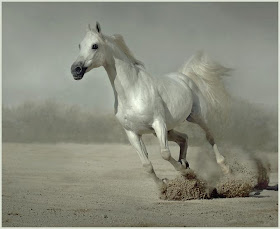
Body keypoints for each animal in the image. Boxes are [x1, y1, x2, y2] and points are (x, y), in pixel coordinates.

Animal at [71, 21, 231, 188]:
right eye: (80, 45)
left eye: (94, 46)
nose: (75, 70)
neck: (132, 92)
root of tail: (183, 76)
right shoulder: (133, 133)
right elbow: (146, 165)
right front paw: (164, 185)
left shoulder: (158, 123)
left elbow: (165, 154)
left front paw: (184, 173)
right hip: (167, 129)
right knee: (184, 138)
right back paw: (185, 163)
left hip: (196, 117)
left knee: (210, 136)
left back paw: (225, 168)